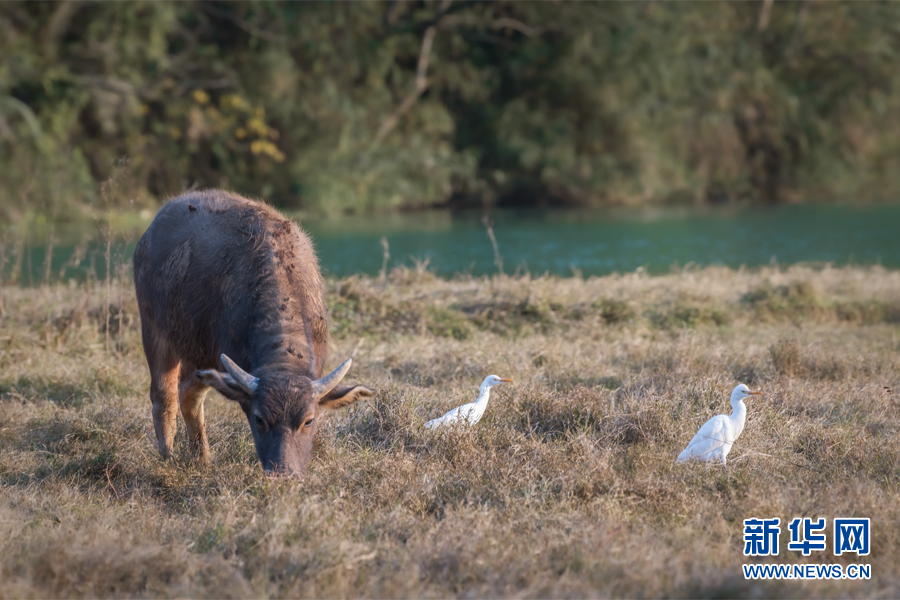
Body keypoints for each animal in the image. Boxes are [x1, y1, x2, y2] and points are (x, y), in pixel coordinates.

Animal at [133, 190, 372, 476]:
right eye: (259, 419)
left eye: (308, 420)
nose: (283, 472)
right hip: (154, 330)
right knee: (164, 396)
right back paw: (168, 457)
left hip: (195, 349)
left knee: (189, 393)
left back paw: (201, 458)